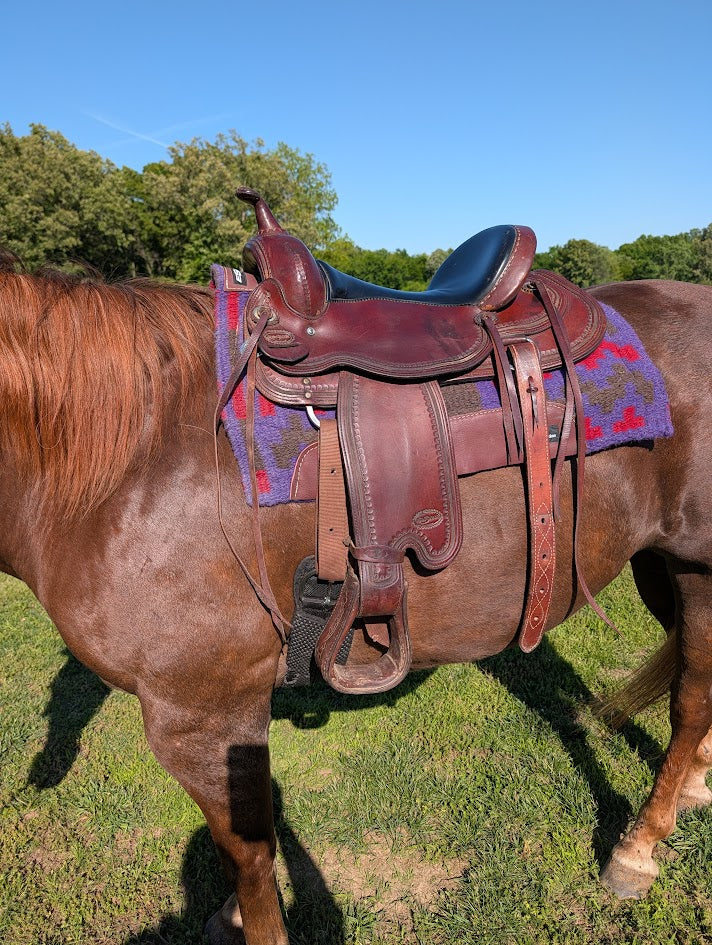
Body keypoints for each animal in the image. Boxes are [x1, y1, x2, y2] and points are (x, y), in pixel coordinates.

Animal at [0, 248, 711, 945]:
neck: (131, 465)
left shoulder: (202, 713)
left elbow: (249, 855)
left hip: (697, 571)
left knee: (692, 699)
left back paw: (637, 851)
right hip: (658, 568)